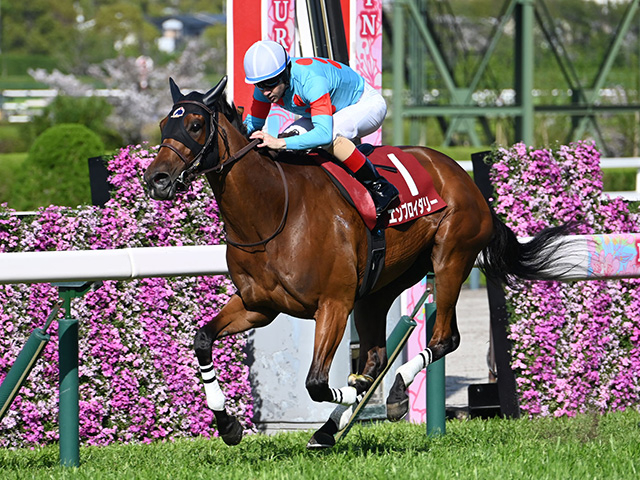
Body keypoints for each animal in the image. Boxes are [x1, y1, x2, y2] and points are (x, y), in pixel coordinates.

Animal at [143, 76, 570, 446]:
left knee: (442, 338)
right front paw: (228, 424)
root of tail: (462, 177)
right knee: (377, 356)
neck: (272, 210)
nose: (157, 179)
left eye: (195, 125)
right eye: (165, 123)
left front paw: (353, 397)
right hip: (381, 287)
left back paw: (391, 394)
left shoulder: (333, 303)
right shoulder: (257, 305)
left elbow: (317, 382)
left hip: (450, 258)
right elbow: (202, 339)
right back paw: (334, 427)